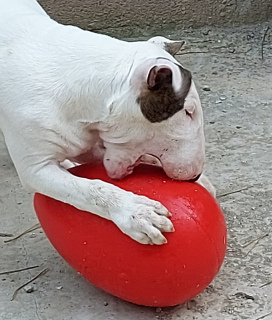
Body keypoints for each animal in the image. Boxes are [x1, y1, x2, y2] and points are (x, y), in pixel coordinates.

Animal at [1, 0, 216, 245]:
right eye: (188, 112)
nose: (195, 175)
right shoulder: (35, 168)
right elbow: (90, 189)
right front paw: (135, 212)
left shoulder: (84, 141)